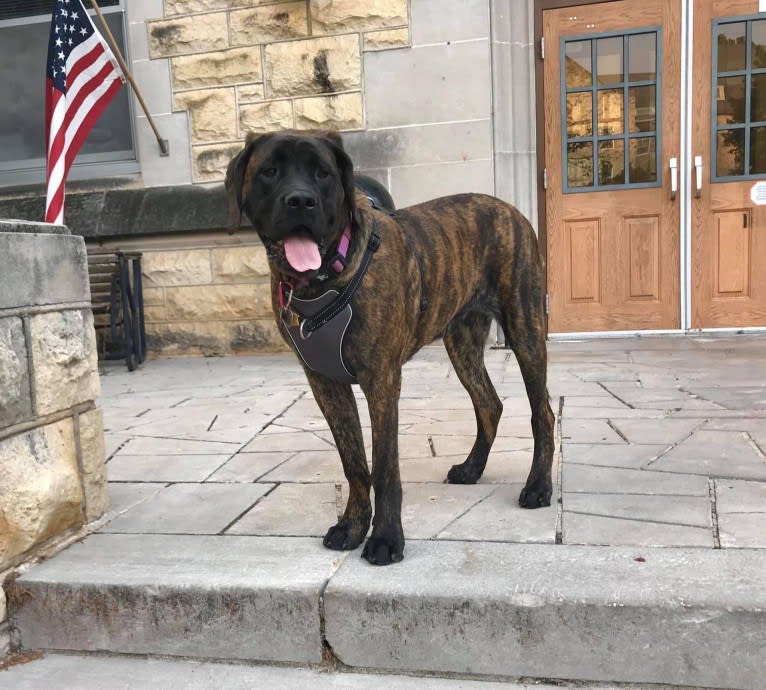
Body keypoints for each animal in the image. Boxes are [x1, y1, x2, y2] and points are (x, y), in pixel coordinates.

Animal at [225, 129, 556, 564]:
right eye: (270, 171)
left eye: (322, 173)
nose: (300, 200)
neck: (323, 281)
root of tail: (508, 208)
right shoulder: (325, 382)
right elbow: (353, 461)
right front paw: (352, 526)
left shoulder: (381, 379)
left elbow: (383, 466)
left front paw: (385, 537)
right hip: (461, 342)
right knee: (489, 404)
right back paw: (472, 469)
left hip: (524, 327)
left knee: (542, 412)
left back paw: (538, 486)